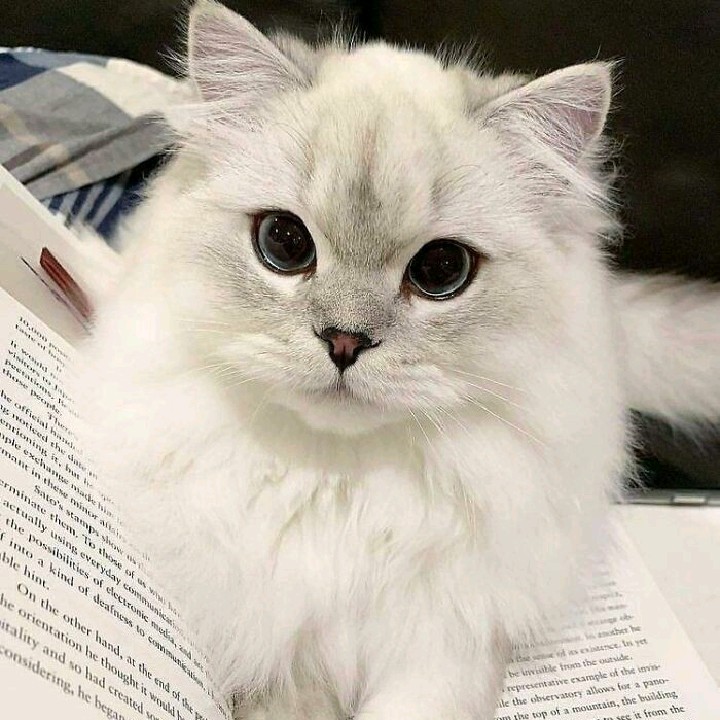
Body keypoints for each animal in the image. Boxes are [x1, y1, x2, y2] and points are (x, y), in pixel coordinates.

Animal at [75, 1, 720, 718]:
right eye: (284, 242)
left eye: (441, 270)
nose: (344, 342)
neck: (340, 483)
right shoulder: (278, 659)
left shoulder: (446, 648)